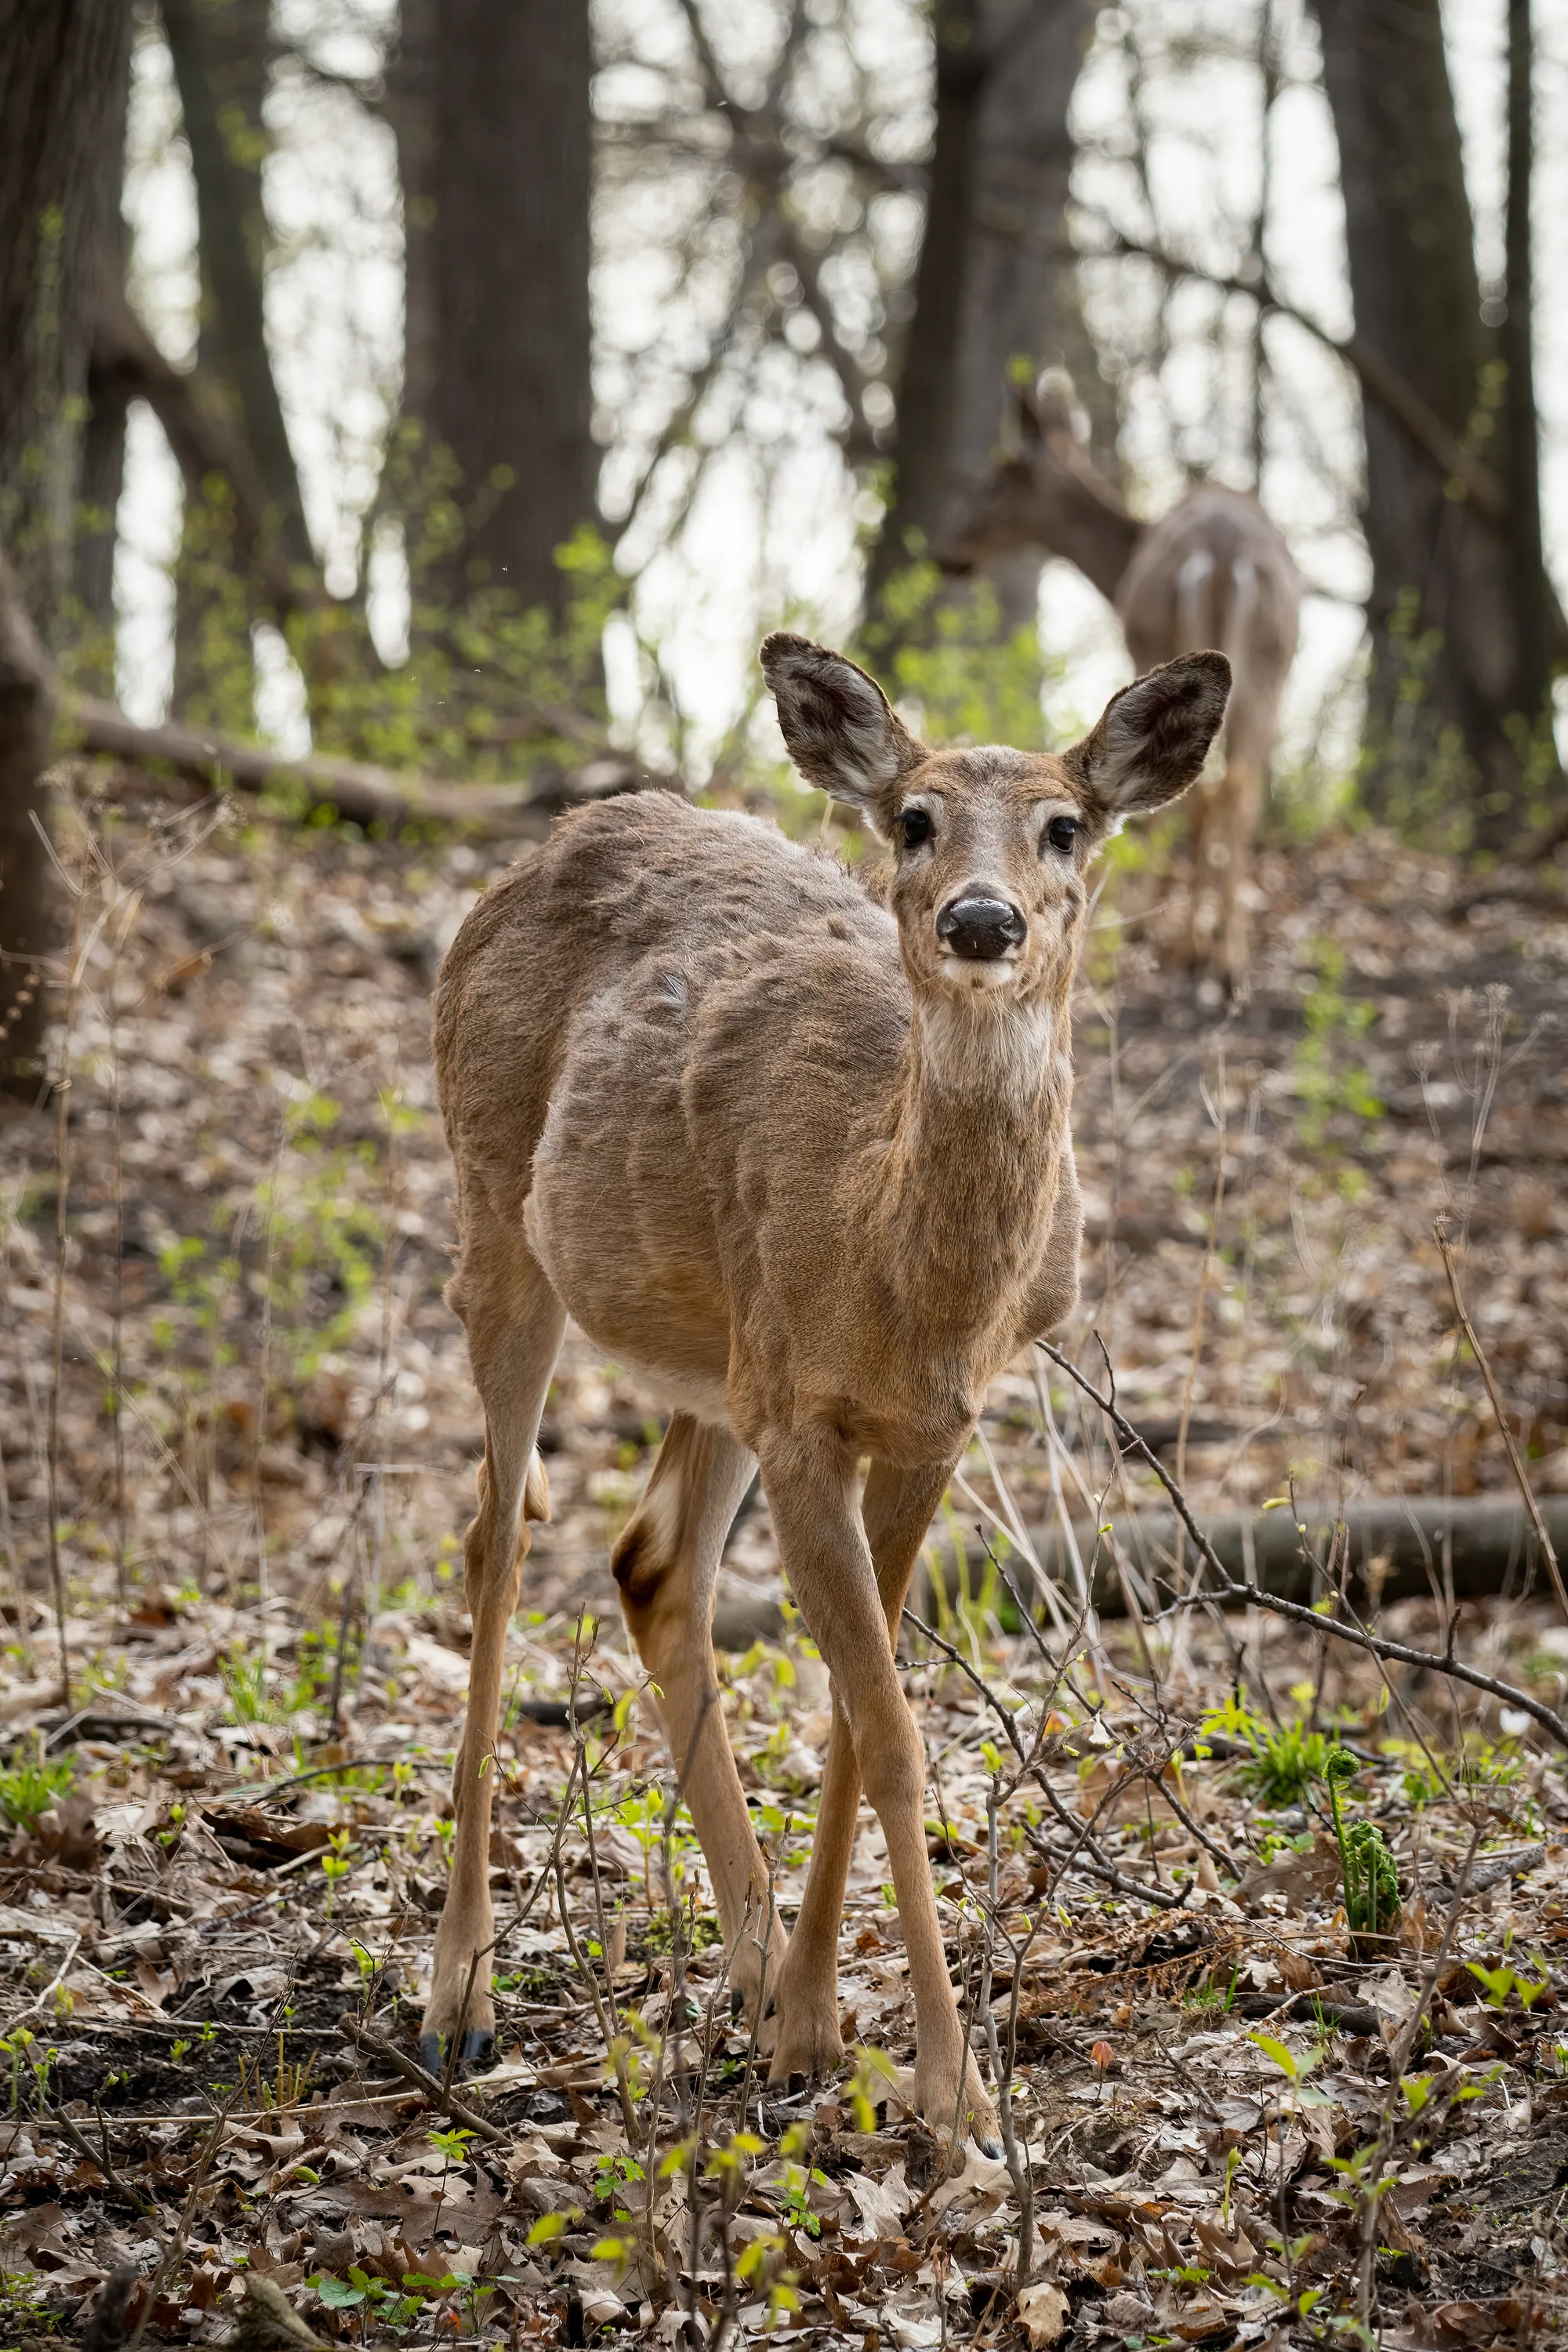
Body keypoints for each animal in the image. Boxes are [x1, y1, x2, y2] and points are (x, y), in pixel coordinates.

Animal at [424, 631, 1230, 2151]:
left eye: (1066, 825)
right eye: (911, 819)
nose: (981, 920)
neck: (899, 1271)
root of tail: (537, 851)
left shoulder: (925, 1428)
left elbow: (863, 1719)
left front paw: (814, 2028)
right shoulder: (807, 1420)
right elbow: (896, 1734)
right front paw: (960, 2100)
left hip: (714, 1356)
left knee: (649, 1561)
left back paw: (745, 1979)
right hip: (498, 1217)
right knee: (497, 1542)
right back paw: (460, 1996)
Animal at [944, 379, 1301, 982]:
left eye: (991, 486)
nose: (946, 554)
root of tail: (1225, 557)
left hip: (1168, 640)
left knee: (1204, 795)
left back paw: (1190, 945)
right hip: (1270, 667)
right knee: (1239, 788)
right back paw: (1229, 956)